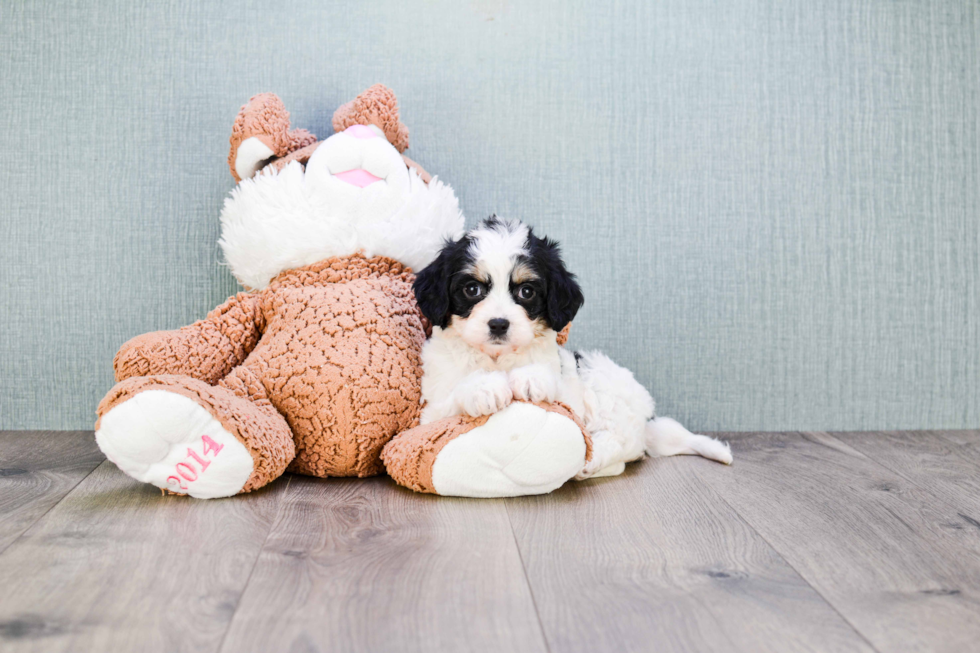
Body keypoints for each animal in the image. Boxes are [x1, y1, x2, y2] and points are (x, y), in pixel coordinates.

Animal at [410, 216, 732, 476]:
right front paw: (483, 388)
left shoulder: (568, 396)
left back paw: (593, 459)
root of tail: (644, 421)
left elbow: (553, 383)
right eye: (472, 289)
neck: (497, 359)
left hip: (604, 383)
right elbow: (452, 397)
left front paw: (531, 377)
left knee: (622, 441)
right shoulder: (429, 414)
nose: (499, 324)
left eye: (527, 291)